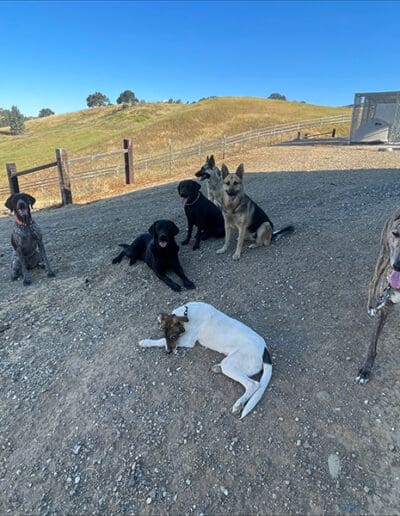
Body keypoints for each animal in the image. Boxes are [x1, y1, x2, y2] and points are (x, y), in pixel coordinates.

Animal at [138, 302, 272, 420]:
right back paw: (217, 368)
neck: (187, 314)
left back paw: (238, 404)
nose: (168, 352)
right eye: (165, 335)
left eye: (173, 336)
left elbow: (159, 342)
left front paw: (146, 342)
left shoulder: (188, 341)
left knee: (253, 384)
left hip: (231, 364)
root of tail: (264, 350)